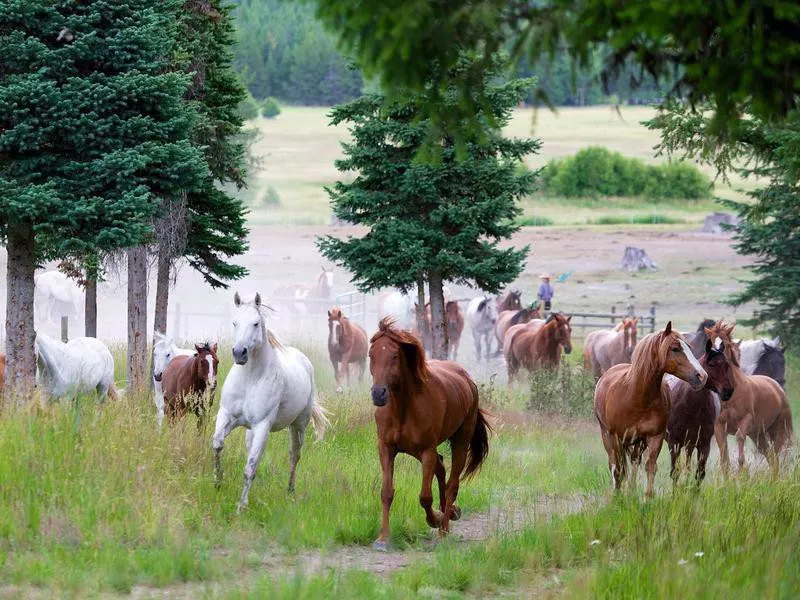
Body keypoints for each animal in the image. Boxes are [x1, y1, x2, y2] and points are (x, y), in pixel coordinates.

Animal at [211, 290, 330, 510]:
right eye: (235, 322)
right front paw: (218, 482)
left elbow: (249, 468)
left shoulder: (262, 425)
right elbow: (217, 444)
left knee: (295, 454)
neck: (250, 379)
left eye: (256, 323)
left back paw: (290, 490)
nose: (239, 353)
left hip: (298, 425)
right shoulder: (227, 416)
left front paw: (241, 506)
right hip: (251, 432)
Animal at [368, 318, 488, 548]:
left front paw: (436, 520)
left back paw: (444, 528)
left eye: (394, 356)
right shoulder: (386, 448)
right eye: (371, 355)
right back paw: (451, 512)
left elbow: (425, 497)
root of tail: (467, 379)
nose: (378, 393)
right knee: (441, 467)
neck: (403, 408)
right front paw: (383, 539)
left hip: (459, 441)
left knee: (451, 483)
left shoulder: (426, 450)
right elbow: (386, 492)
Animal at [592, 324, 708, 496]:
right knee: (615, 464)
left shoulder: (654, 437)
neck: (636, 397)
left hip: (638, 443)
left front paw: (647, 497)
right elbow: (618, 470)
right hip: (608, 437)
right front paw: (618, 497)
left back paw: (632, 490)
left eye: (689, 347)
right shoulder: (616, 438)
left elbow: (650, 467)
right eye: (675, 348)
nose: (702, 376)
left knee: (633, 462)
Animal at [664, 340, 736, 486]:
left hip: (690, 444)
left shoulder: (704, 445)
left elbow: (699, 474)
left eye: (727, 365)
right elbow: (675, 473)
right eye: (712, 364)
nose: (728, 391)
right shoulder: (673, 443)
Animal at [708, 322, 792, 472]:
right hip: (758, 435)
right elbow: (724, 460)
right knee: (771, 458)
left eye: (724, 344)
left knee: (777, 456)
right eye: (710, 343)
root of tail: (776, 387)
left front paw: (742, 471)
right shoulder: (719, 427)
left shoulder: (745, 422)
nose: (782, 380)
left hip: (778, 430)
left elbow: (740, 439)